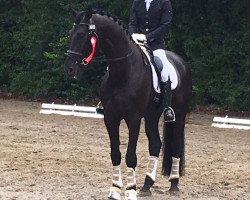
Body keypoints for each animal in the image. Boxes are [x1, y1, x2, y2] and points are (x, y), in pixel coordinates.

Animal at [64, 7, 191, 200]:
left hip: (178, 114)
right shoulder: (110, 117)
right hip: (152, 115)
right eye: (71, 33)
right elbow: (115, 154)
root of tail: (180, 61)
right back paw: (147, 185)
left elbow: (130, 156)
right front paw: (115, 189)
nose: (70, 69)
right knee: (155, 145)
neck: (123, 71)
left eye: (83, 35)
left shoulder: (133, 118)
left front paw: (130, 190)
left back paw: (174, 184)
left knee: (175, 146)